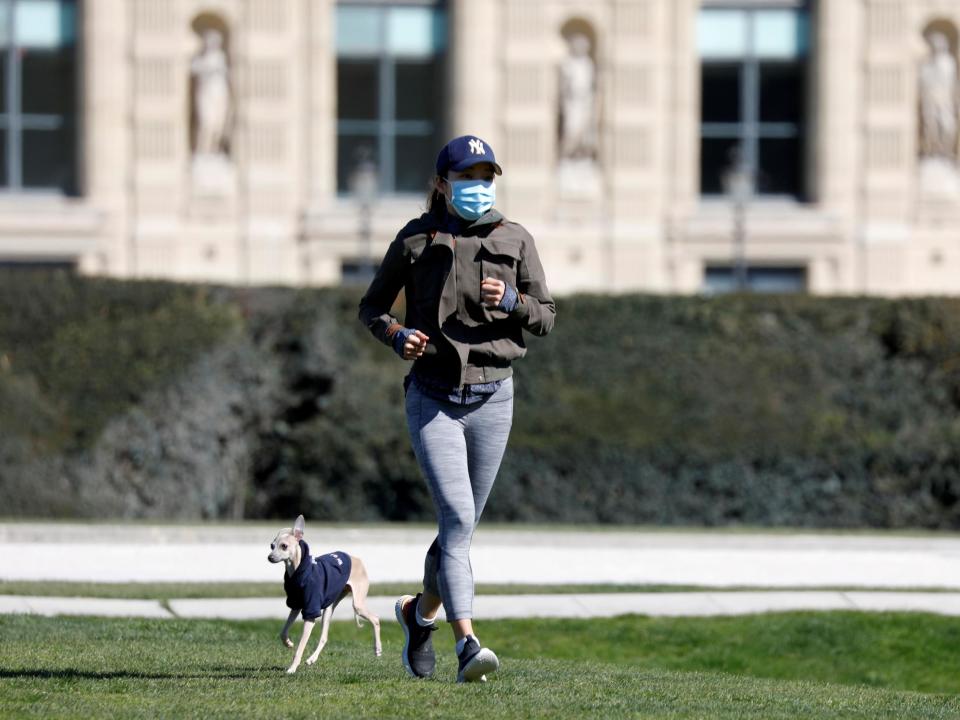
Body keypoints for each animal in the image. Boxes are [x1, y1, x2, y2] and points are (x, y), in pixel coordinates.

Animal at [266, 516, 382, 672]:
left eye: (284, 546)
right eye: (272, 546)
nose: (270, 557)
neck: (298, 571)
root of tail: (357, 559)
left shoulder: (310, 612)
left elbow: (300, 647)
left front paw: (292, 668)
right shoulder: (296, 605)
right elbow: (283, 632)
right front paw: (288, 643)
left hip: (357, 604)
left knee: (375, 618)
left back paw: (377, 649)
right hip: (330, 606)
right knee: (324, 637)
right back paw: (312, 659)